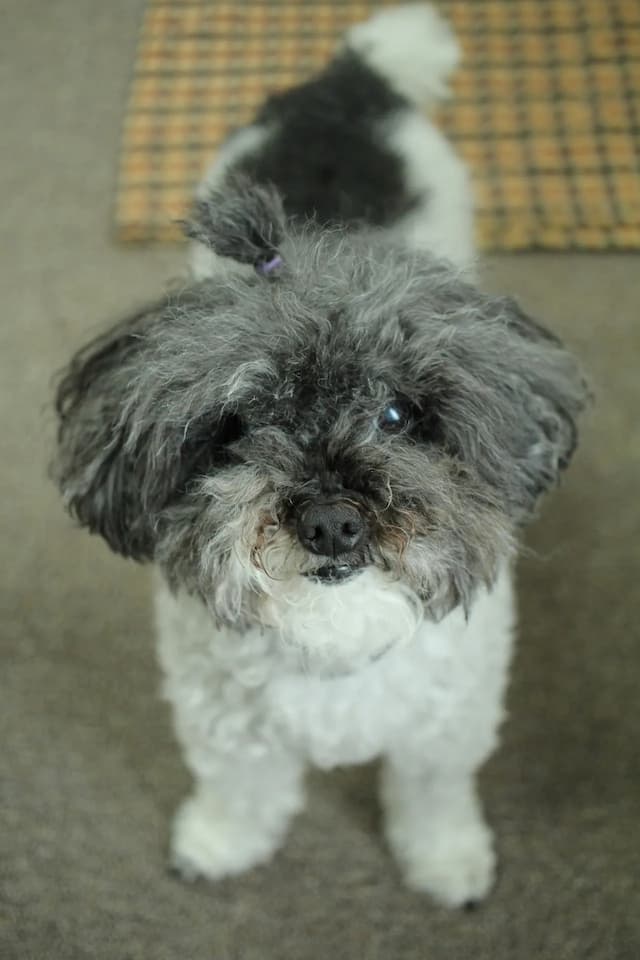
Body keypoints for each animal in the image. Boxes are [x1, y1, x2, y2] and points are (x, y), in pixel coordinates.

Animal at [52, 5, 588, 908]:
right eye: (235, 427)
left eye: (398, 413)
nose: (334, 521)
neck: (335, 639)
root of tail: (344, 84)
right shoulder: (226, 726)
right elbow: (240, 792)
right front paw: (220, 844)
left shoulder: (445, 729)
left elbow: (433, 796)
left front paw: (446, 861)